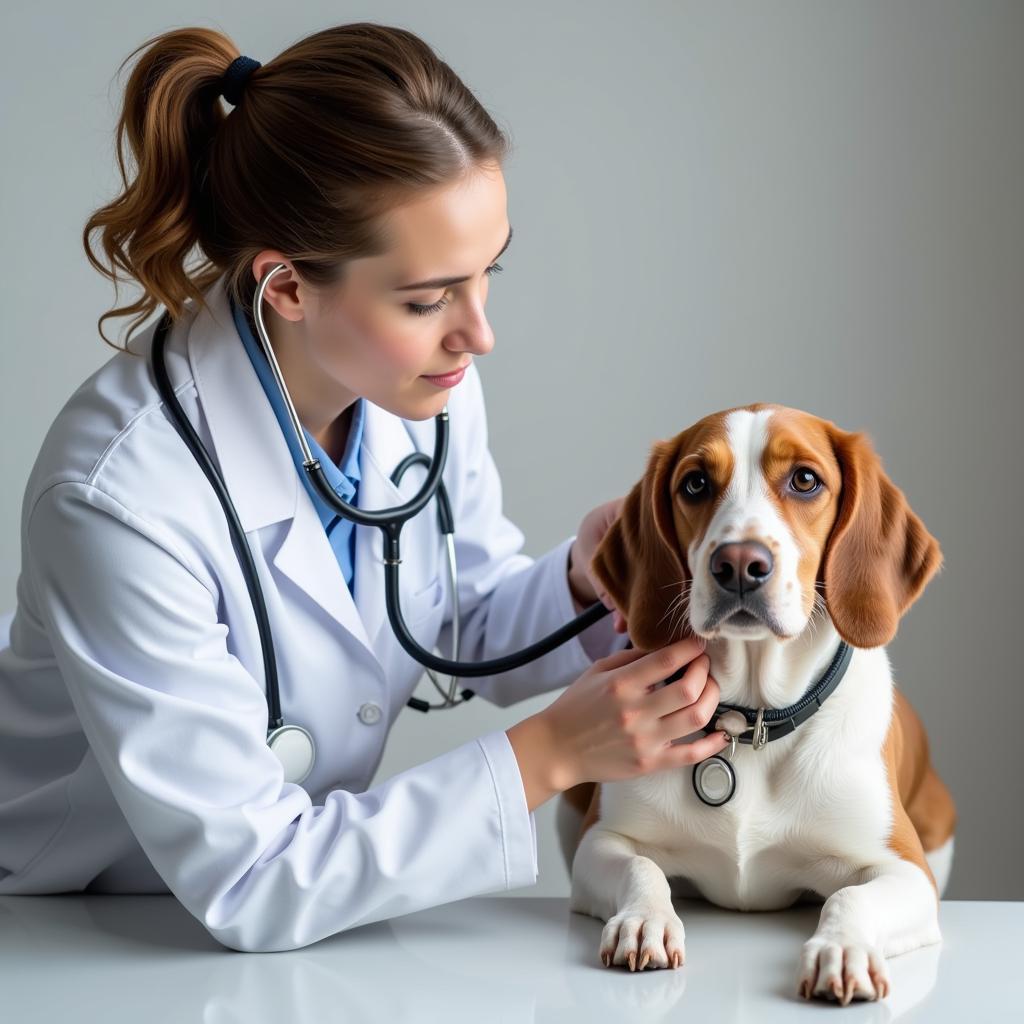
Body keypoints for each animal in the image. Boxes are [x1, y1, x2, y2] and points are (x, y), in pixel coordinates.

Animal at [557, 403, 954, 1003]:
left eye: (805, 480)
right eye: (695, 483)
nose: (740, 563)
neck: (752, 721)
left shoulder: (905, 869)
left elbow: (850, 896)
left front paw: (843, 948)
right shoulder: (601, 840)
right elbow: (642, 869)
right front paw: (645, 919)